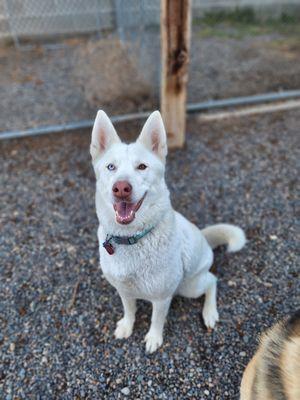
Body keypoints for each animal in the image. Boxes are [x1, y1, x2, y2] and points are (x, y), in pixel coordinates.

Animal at [90, 109, 245, 354]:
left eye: (142, 167)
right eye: (111, 167)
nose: (121, 188)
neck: (132, 239)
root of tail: (204, 237)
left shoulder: (162, 298)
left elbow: (156, 320)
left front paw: (154, 338)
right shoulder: (124, 290)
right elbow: (129, 310)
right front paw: (127, 326)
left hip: (190, 286)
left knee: (212, 281)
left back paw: (210, 313)